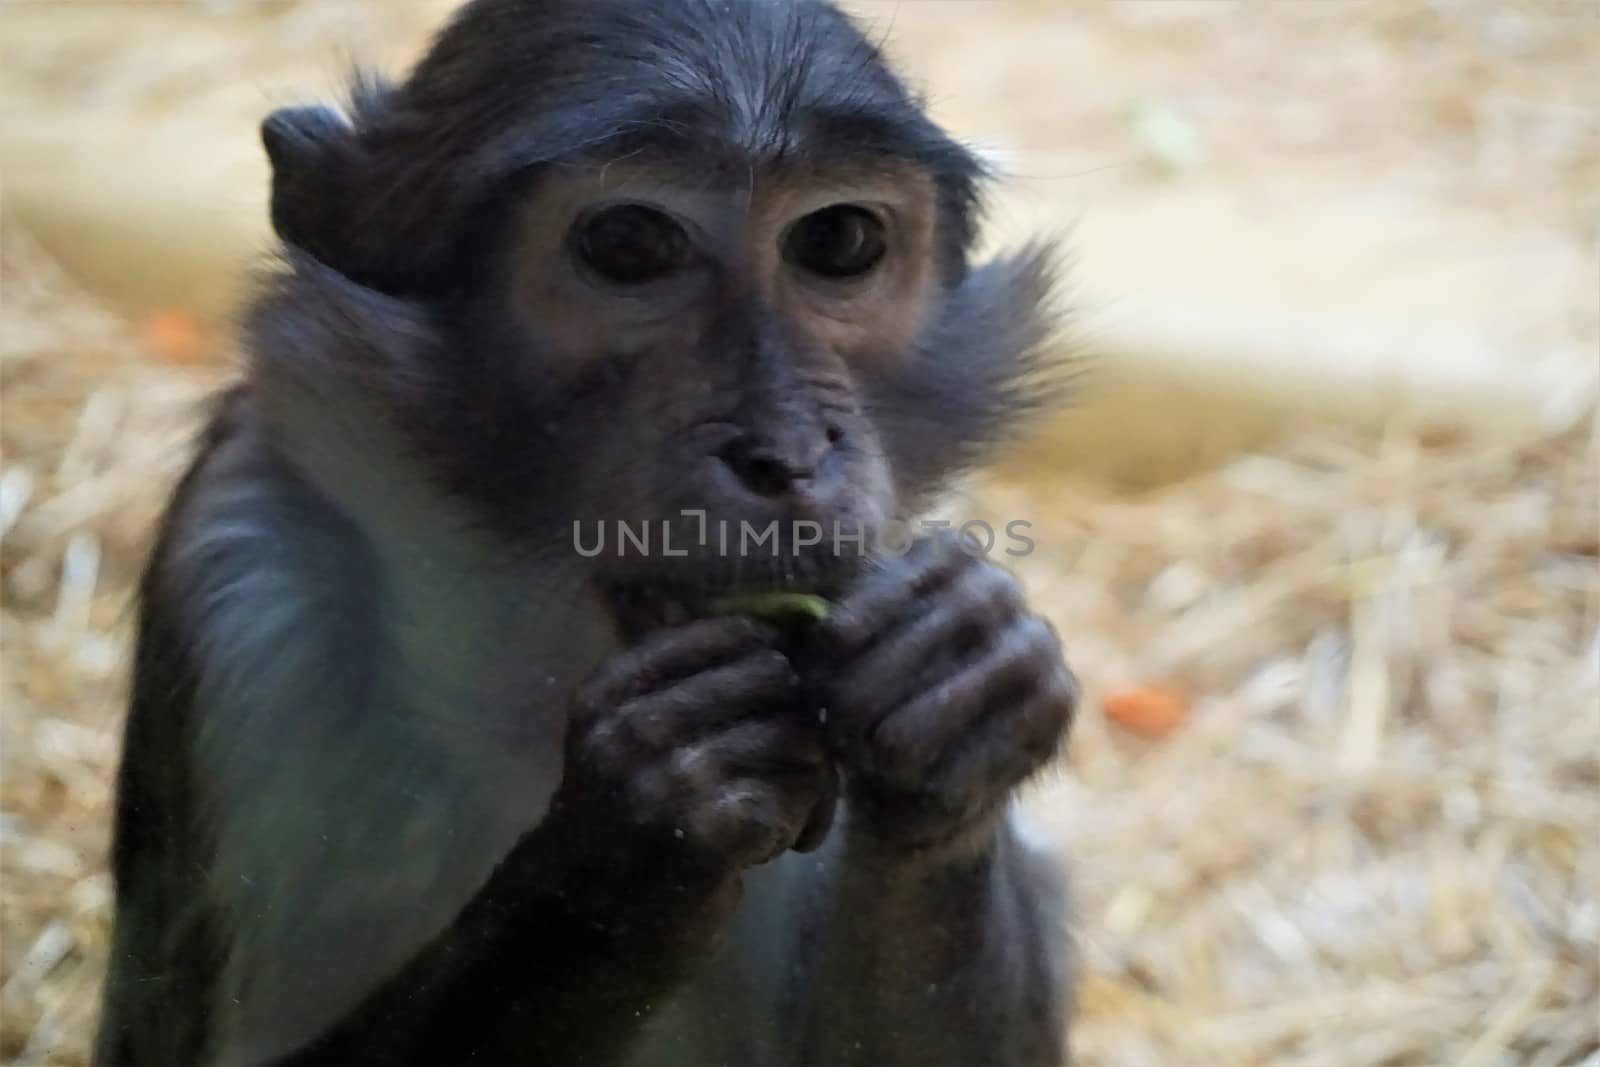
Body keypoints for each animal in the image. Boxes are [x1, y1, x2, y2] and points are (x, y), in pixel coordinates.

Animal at [93, 2, 1081, 1067]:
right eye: (630, 243)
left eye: (839, 238)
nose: (786, 451)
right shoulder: (244, 581)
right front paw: (635, 835)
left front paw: (960, 677)